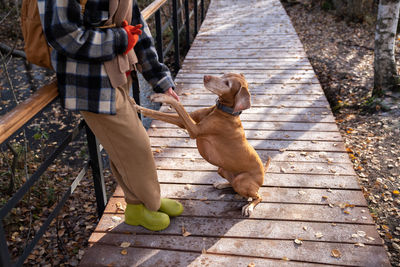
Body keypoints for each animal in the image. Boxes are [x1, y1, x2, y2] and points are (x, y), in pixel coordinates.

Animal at [135, 74, 272, 218]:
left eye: (227, 83)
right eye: (224, 74)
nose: (206, 77)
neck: (224, 112)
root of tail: (263, 173)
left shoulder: (194, 130)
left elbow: (178, 103)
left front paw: (161, 97)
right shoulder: (182, 122)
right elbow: (160, 113)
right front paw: (138, 106)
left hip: (241, 181)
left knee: (259, 197)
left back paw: (249, 206)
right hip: (222, 170)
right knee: (234, 185)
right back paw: (222, 184)